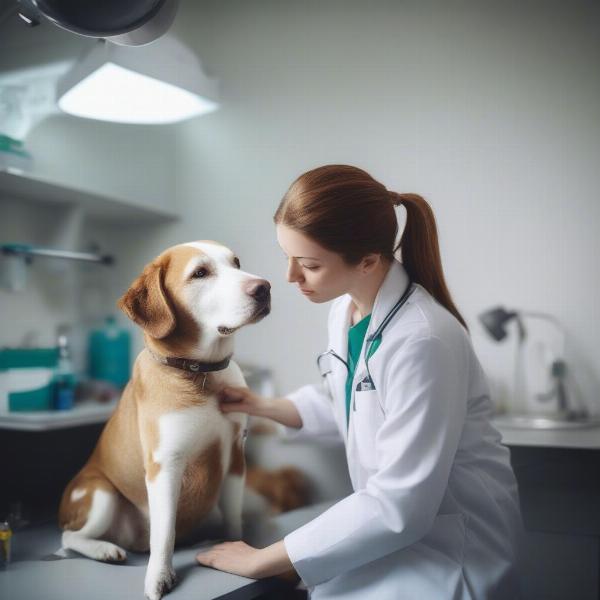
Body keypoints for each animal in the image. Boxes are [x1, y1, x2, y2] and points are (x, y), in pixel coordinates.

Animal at [56, 241, 272, 596]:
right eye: (200, 273)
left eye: (237, 263)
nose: (264, 287)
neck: (200, 376)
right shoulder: (165, 465)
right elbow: (165, 532)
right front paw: (159, 576)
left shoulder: (235, 457)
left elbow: (233, 517)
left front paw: (236, 547)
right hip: (100, 493)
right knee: (68, 536)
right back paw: (103, 549)